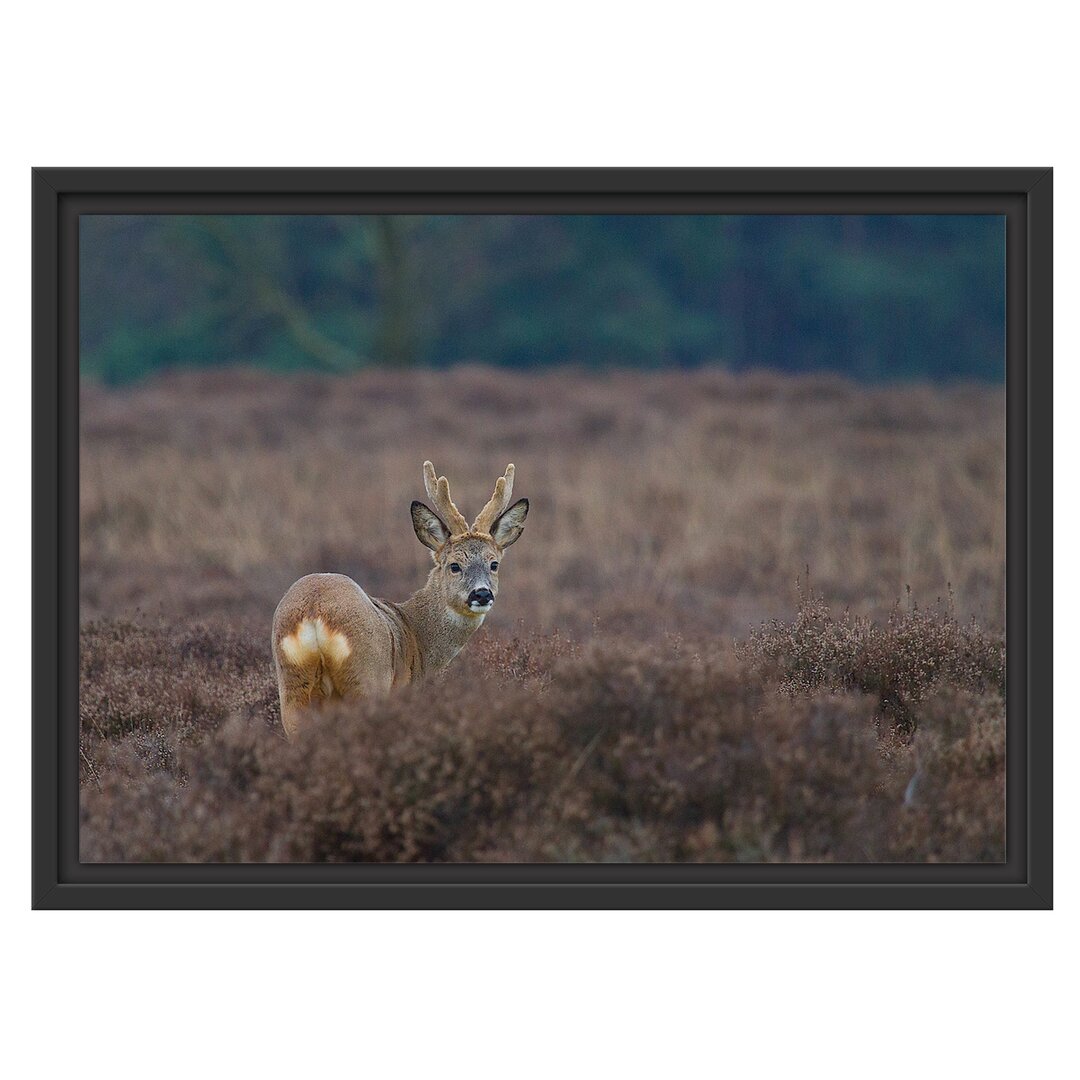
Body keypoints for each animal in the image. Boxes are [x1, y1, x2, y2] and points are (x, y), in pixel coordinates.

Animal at [267, 460, 524, 738]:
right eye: (454, 566)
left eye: (494, 564)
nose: (482, 593)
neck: (417, 636)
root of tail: (315, 612)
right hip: (366, 678)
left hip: (293, 685)